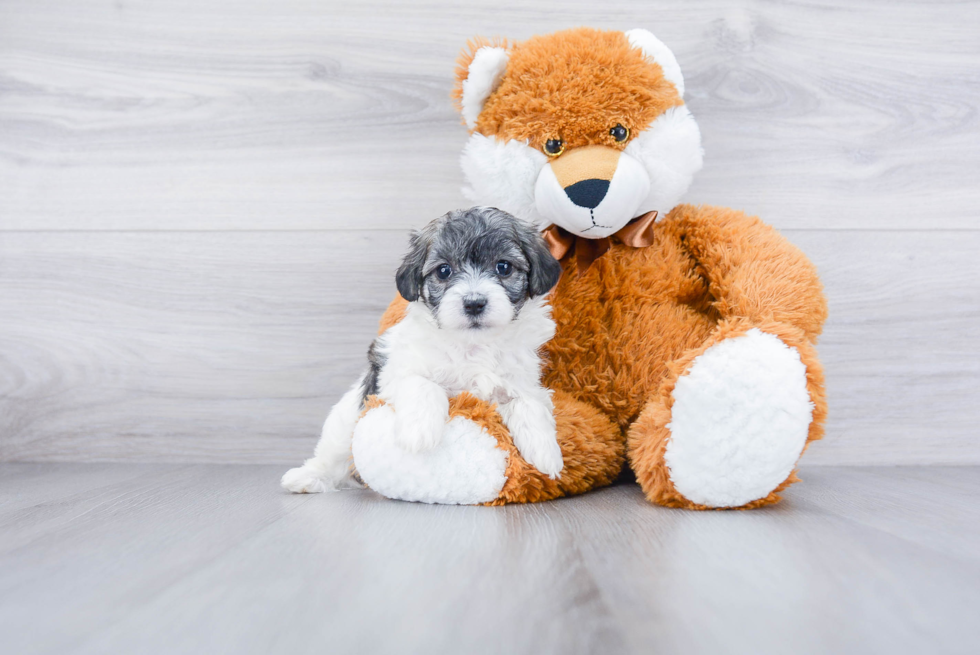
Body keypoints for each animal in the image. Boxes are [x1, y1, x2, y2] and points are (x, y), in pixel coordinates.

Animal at [280, 208, 564, 494]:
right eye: (444, 271)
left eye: (503, 267)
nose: (474, 303)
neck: (474, 345)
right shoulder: (393, 373)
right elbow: (423, 384)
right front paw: (420, 432)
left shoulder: (523, 382)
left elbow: (529, 403)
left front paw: (546, 452)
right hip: (343, 422)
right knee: (333, 454)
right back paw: (308, 476)